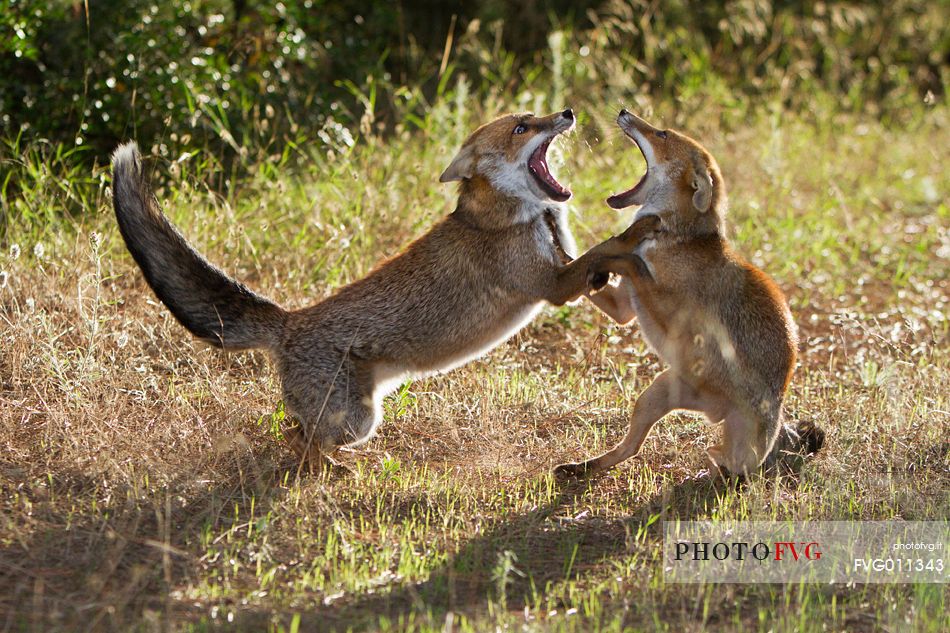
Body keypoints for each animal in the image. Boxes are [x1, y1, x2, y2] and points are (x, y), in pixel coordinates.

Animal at [113, 108, 656, 472]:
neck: (520, 217)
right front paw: (644, 236)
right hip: (355, 419)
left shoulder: (569, 276)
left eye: (536, 116)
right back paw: (328, 470)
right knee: (298, 438)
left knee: (294, 433)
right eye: (522, 127)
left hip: (357, 417)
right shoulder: (550, 285)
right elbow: (607, 249)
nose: (566, 112)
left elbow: (601, 265)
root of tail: (289, 322)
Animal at [556, 110, 824, 478]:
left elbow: (630, 261)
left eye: (662, 134)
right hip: (655, 395)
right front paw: (564, 254)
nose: (624, 112)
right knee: (629, 450)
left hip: (739, 450)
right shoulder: (625, 309)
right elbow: (586, 260)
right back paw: (580, 467)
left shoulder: (673, 311)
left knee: (734, 469)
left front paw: (611, 257)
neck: (675, 238)